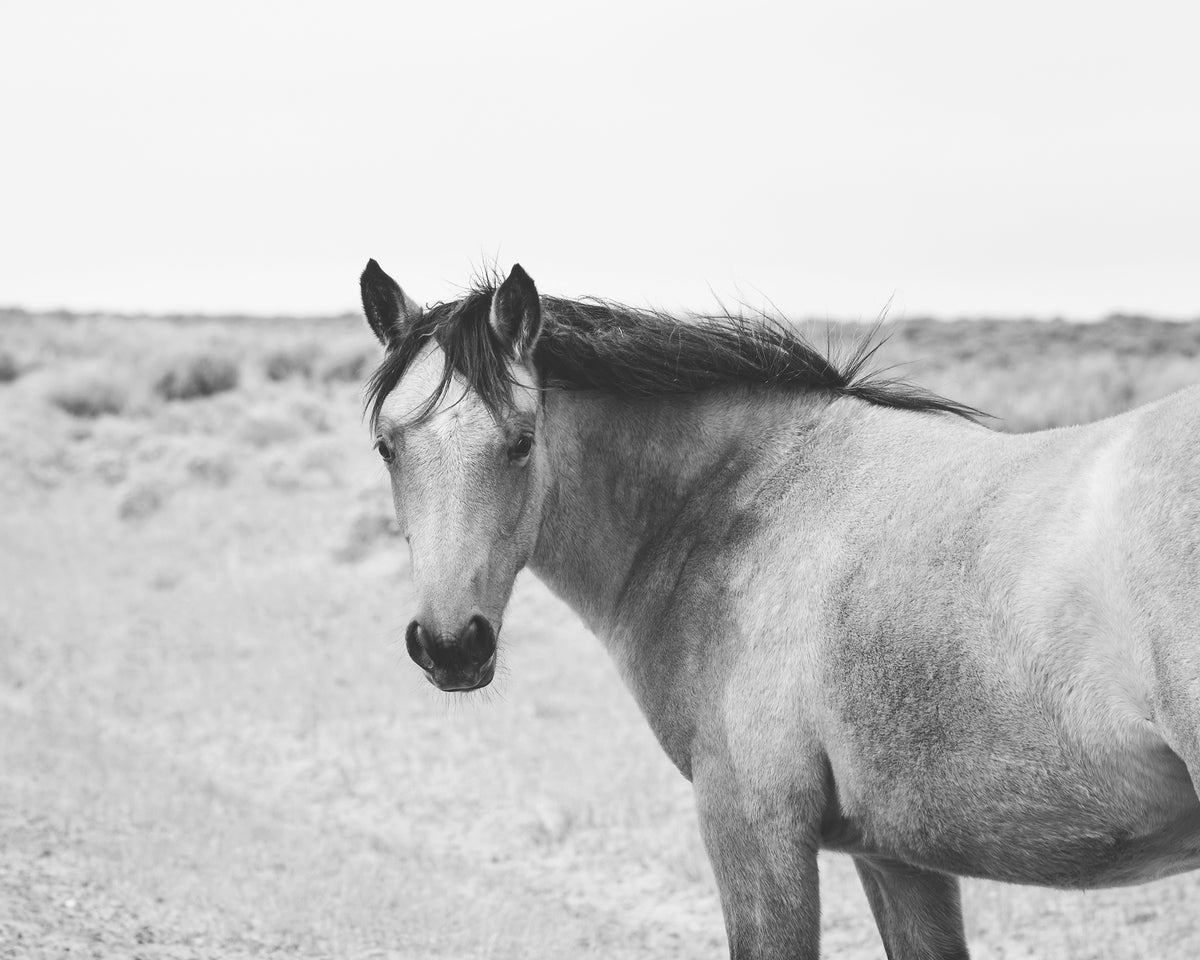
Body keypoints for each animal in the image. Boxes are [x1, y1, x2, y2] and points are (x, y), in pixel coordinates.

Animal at [355, 259, 1200, 955]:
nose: (451, 646)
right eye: (388, 446)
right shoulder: (897, 856)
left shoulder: (754, 833)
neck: (736, 502)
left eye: (521, 441)